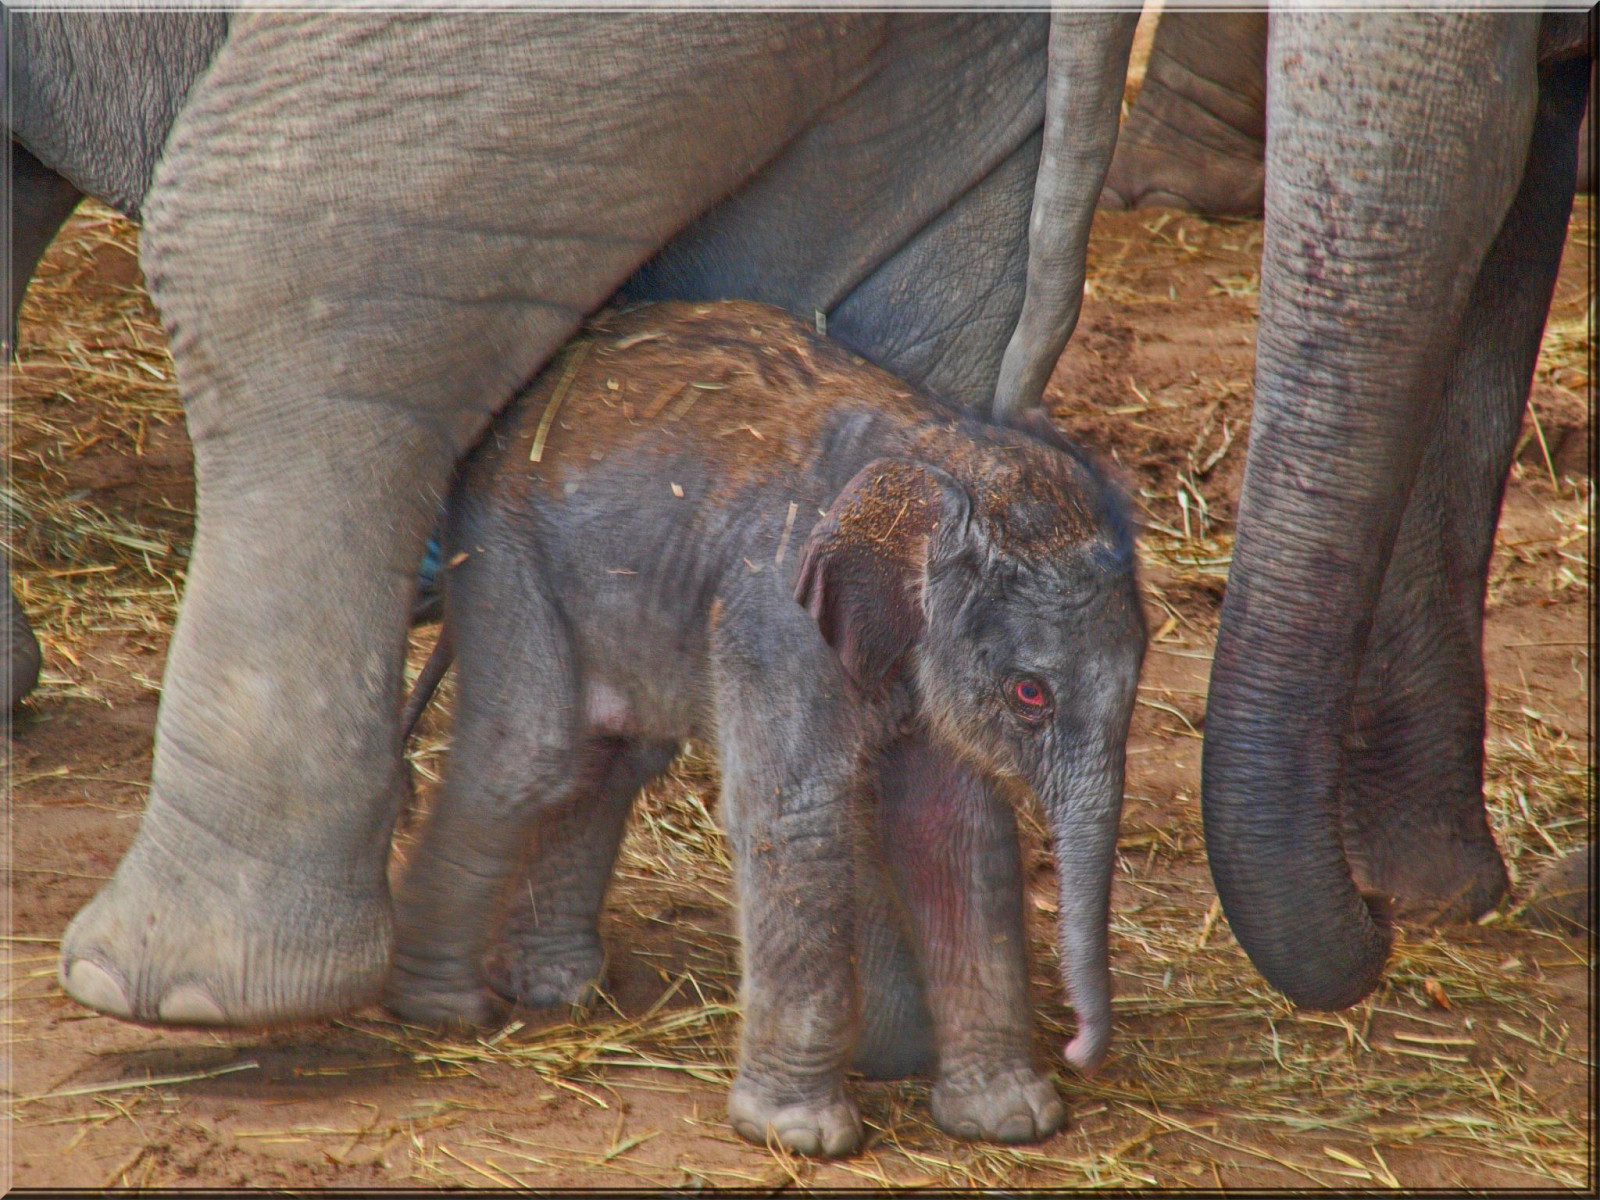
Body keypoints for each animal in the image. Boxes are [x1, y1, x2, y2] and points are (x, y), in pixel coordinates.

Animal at [389, 300, 1143, 1154]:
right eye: (1029, 694)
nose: (1080, 1051)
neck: (936, 461)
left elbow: (950, 828)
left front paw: (1010, 1120)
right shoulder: (777, 616)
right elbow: (798, 816)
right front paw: (800, 1136)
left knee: (610, 754)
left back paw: (556, 987)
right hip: (506, 550)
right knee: (528, 754)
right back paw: (446, 1010)